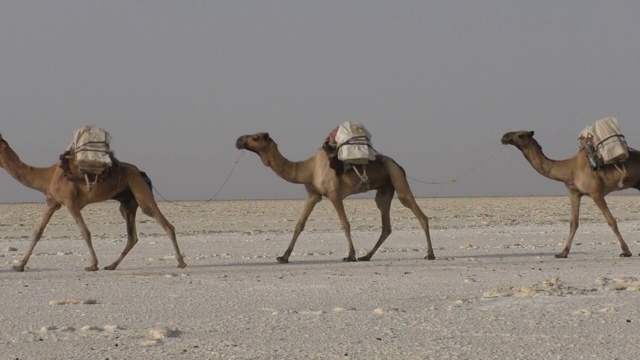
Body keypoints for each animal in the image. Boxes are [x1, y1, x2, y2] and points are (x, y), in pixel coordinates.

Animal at [0, 132, 186, 270]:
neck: (47, 177)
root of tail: (140, 172)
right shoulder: (52, 203)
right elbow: (37, 232)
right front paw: (19, 266)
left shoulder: (71, 202)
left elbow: (85, 232)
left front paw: (93, 265)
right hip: (127, 203)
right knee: (132, 236)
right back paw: (111, 265)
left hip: (140, 190)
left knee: (164, 223)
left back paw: (181, 262)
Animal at [235, 131, 436, 262]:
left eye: (255, 137)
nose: (238, 140)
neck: (308, 169)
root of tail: (398, 164)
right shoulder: (313, 194)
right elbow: (299, 225)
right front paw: (283, 257)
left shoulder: (333, 193)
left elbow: (345, 224)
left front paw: (350, 255)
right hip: (385, 190)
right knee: (385, 223)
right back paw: (366, 256)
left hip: (396, 176)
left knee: (417, 211)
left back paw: (430, 254)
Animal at [500, 131, 640, 258]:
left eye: (520, 135)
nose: (504, 137)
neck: (569, 169)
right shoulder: (574, 194)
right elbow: (573, 223)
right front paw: (562, 253)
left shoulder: (596, 193)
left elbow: (611, 221)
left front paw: (626, 251)